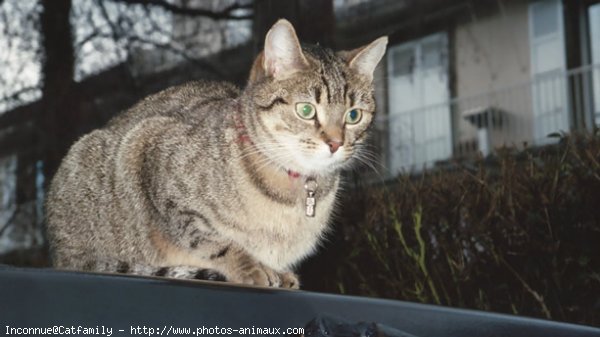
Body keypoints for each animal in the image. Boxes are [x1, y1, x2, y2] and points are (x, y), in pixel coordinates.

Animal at [45, 18, 384, 288]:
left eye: (354, 115)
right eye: (305, 110)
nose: (335, 143)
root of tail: (61, 254)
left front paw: (277, 272)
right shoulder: (149, 152)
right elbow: (212, 240)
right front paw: (251, 268)